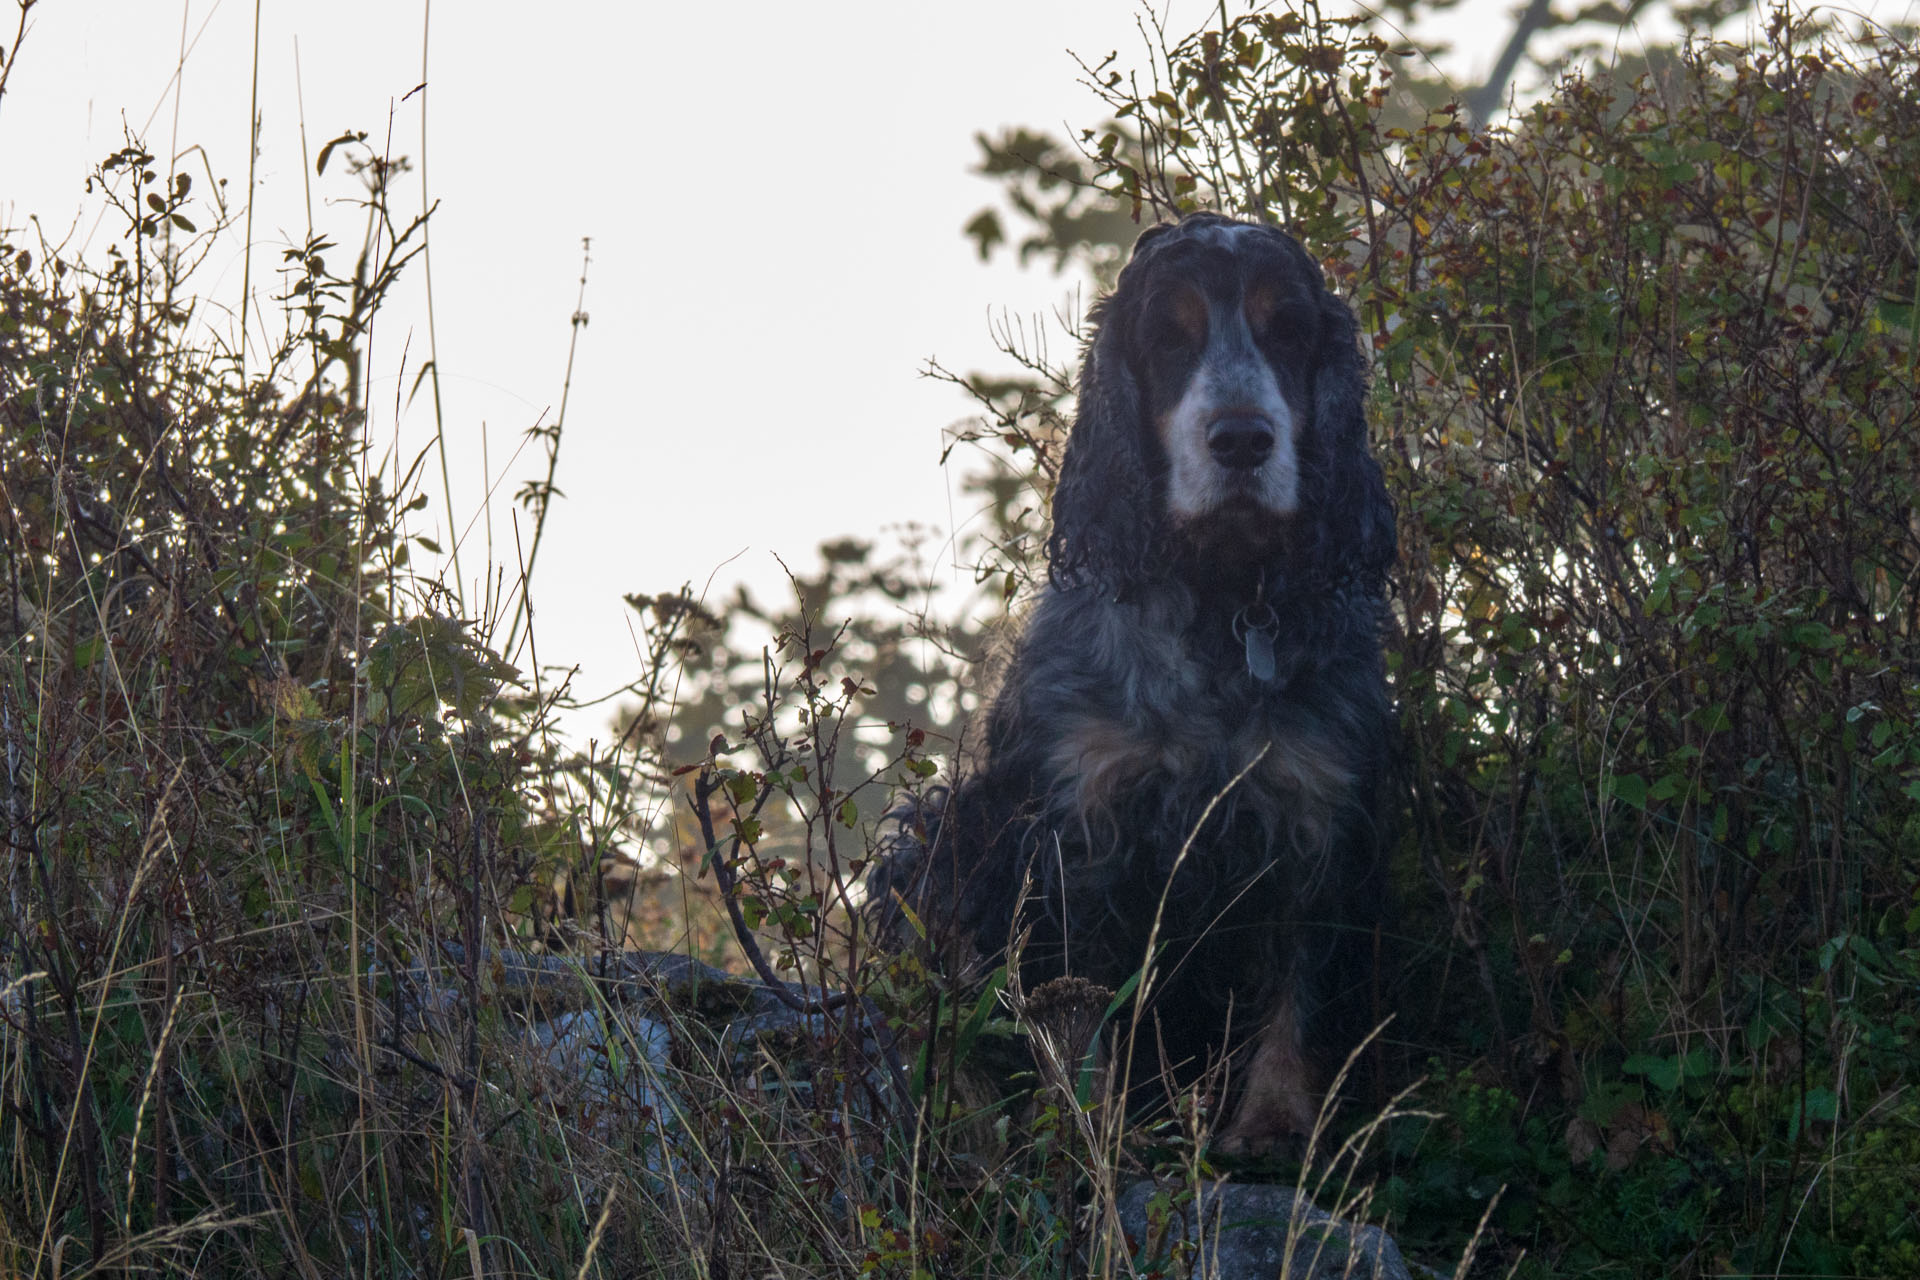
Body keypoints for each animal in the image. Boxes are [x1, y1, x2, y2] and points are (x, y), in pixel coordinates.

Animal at [879, 208, 1405, 1151]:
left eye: (1288, 331)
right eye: (1169, 338)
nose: (1242, 440)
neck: (1220, 601)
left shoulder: (1319, 818)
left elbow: (1298, 990)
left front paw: (1273, 1126)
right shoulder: (1081, 825)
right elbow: (1076, 1002)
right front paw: (1083, 1122)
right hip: (934, 835)